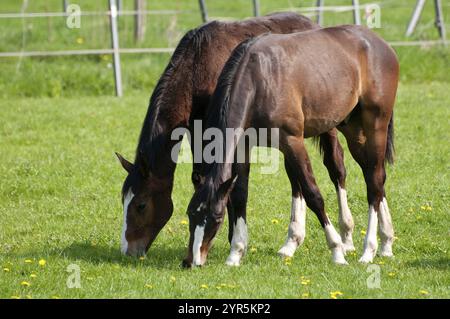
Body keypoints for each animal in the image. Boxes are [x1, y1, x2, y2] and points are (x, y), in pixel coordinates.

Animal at [185, 24, 400, 268]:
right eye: (190, 213)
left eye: (216, 217)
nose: (193, 261)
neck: (258, 79)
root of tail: (380, 43)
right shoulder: (244, 146)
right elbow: (240, 194)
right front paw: (235, 253)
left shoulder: (293, 142)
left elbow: (313, 194)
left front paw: (336, 250)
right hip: (354, 130)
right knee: (375, 176)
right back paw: (386, 243)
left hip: (376, 126)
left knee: (373, 183)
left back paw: (369, 249)